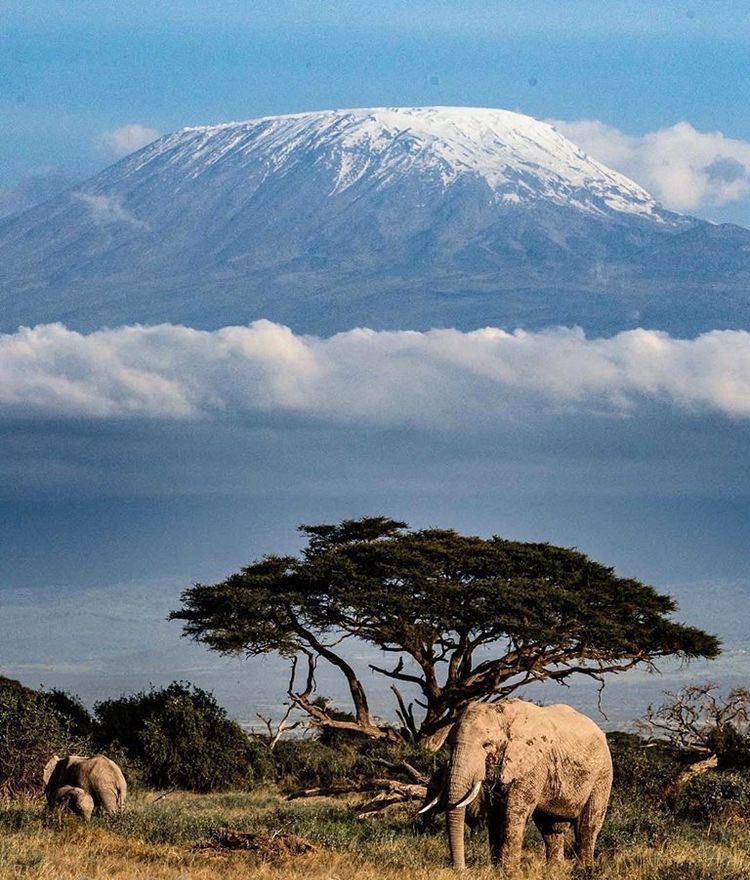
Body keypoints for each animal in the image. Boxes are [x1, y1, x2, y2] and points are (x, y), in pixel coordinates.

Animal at [444, 699, 612, 872]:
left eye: (486, 744)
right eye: (449, 743)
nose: (462, 869)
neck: (503, 712)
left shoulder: (534, 764)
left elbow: (514, 811)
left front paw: (509, 871)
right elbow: (495, 813)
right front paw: (498, 870)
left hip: (602, 773)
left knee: (587, 825)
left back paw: (584, 869)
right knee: (551, 828)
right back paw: (555, 869)